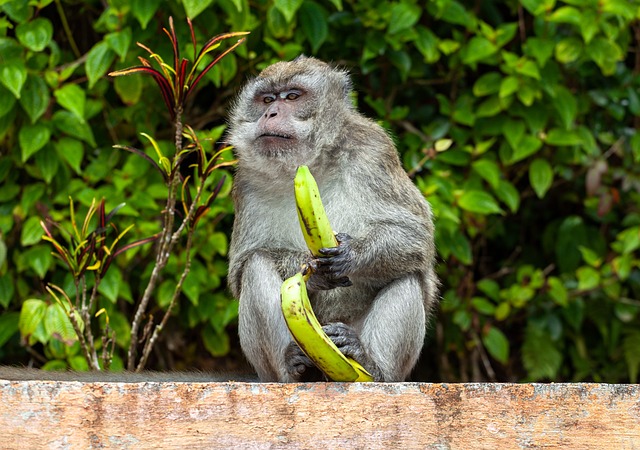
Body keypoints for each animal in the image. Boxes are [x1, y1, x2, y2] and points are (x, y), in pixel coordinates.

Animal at [226, 54, 440, 382]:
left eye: (292, 96)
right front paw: (313, 271)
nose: (270, 113)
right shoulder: (246, 181)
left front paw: (351, 255)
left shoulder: (374, 149)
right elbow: (241, 265)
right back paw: (293, 368)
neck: (310, 163)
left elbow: (414, 233)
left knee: (407, 272)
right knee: (257, 263)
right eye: (266, 99)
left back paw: (370, 364)